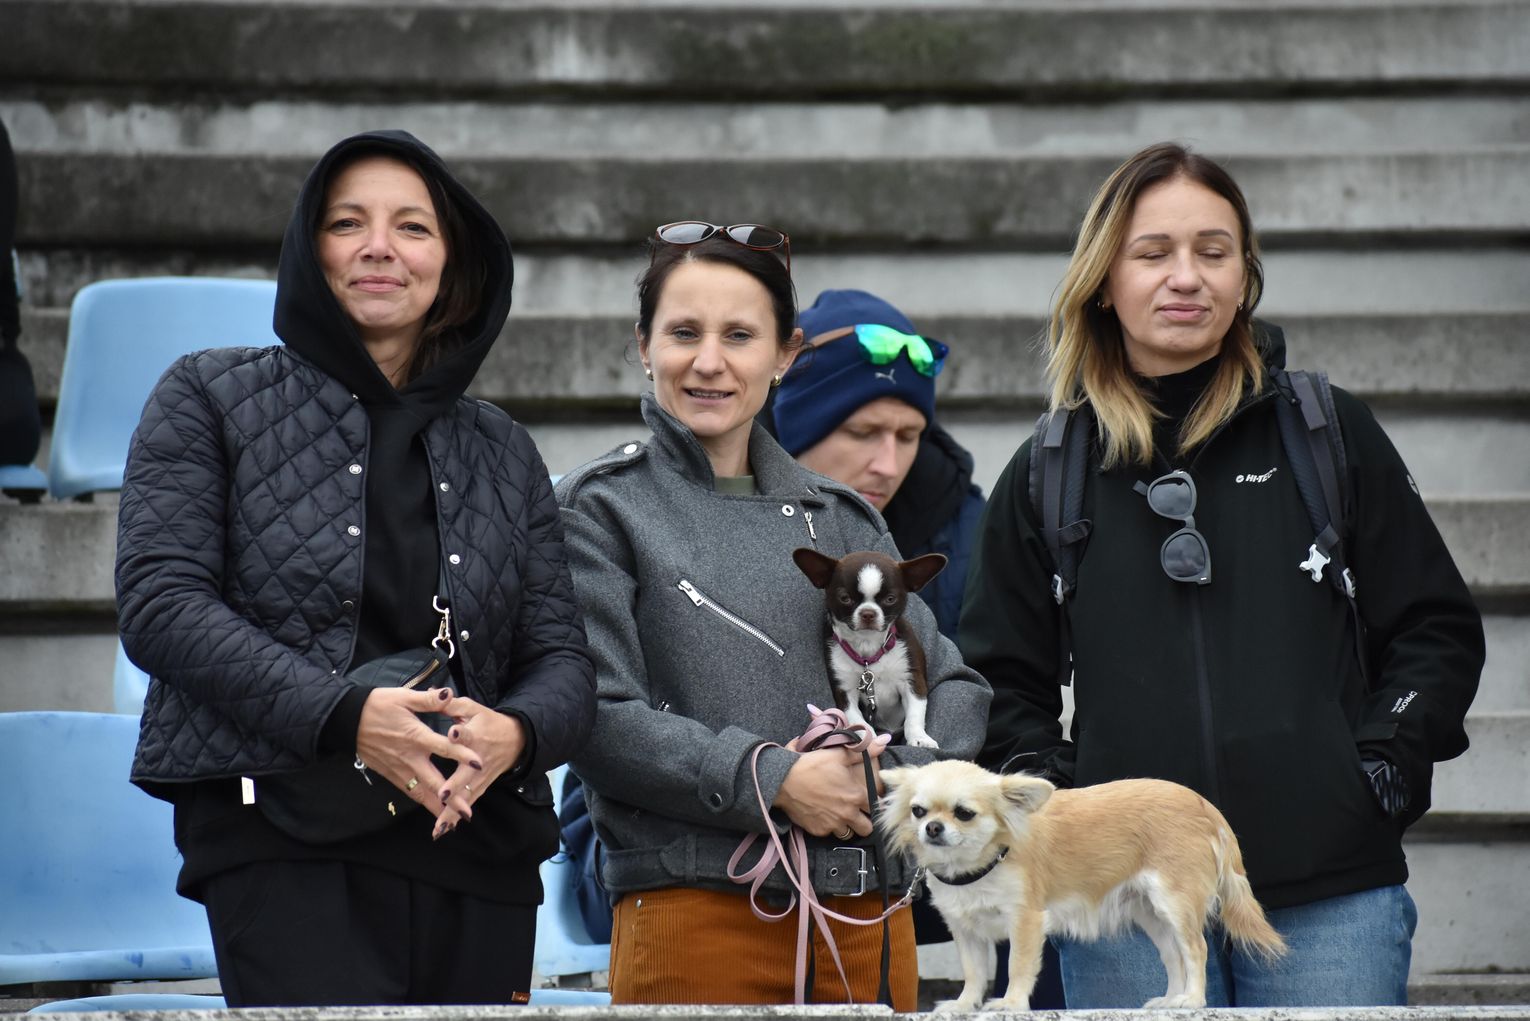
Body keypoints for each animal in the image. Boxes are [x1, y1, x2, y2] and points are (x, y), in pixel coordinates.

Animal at [792, 548, 947, 749]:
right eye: (845, 598)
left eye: (890, 599)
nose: (868, 613)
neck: (868, 648)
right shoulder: (844, 690)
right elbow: (855, 717)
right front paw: (870, 739)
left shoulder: (912, 680)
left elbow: (915, 714)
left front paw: (920, 738)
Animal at [879, 760, 1286, 1011]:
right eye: (918, 811)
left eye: (964, 813)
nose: (932, 828)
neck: (976, 868)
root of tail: (1204, 805)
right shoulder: (965, 930)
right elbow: (974, 972)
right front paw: (964, 1005)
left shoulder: (1025, 921)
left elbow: (1017, 966)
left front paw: (1010, 1003)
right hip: (1152, 913)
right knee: (1173, 956)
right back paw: (1171, 999)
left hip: (1175, 903)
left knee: (1196, 950)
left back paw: (1193, 1000)